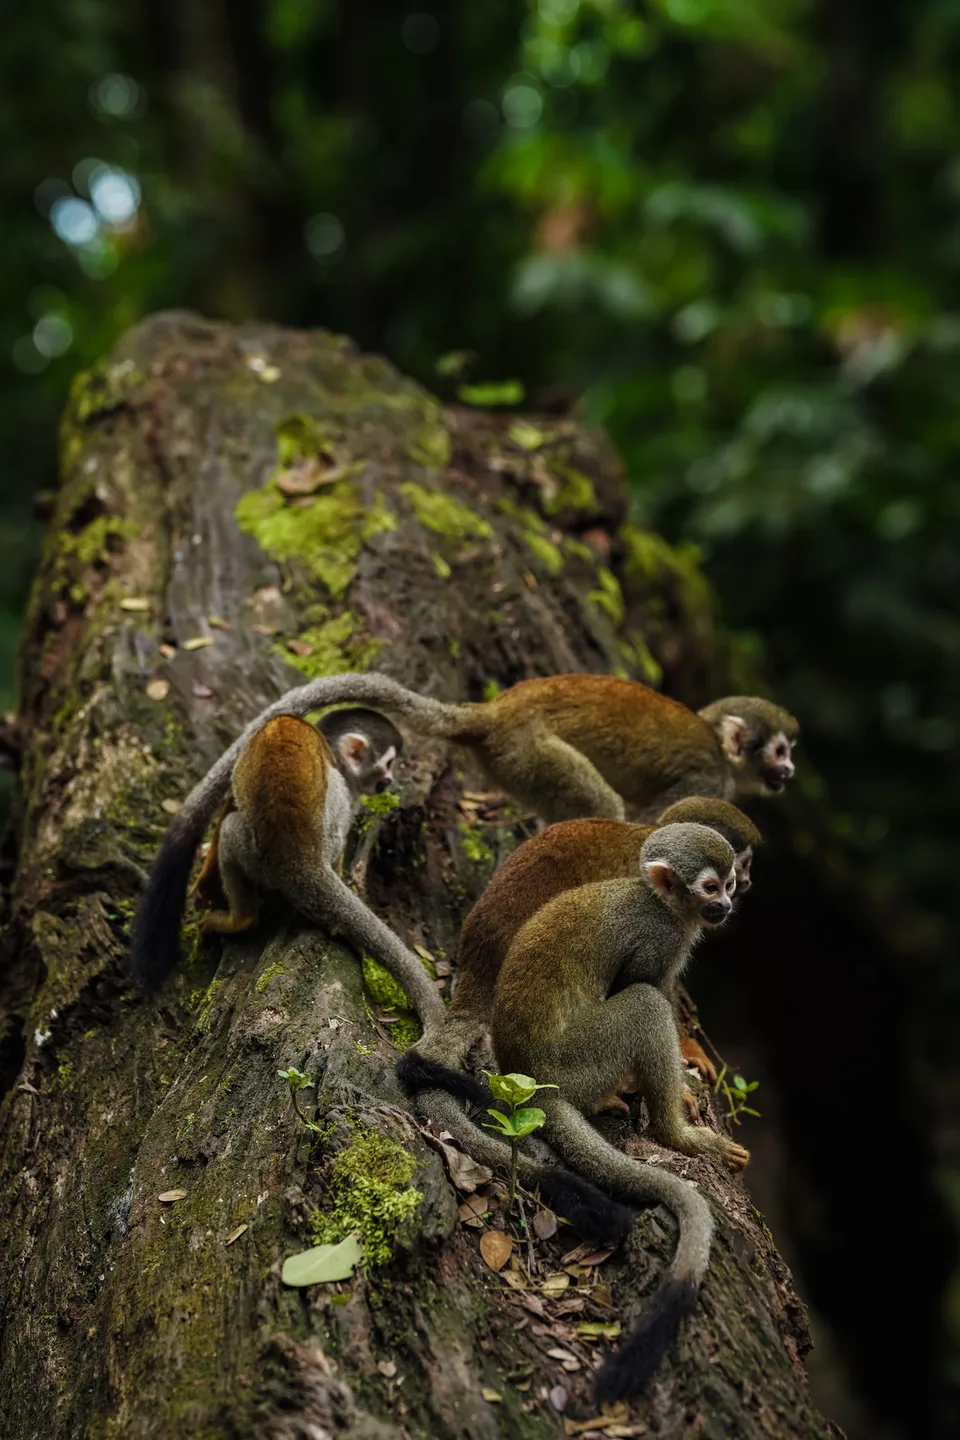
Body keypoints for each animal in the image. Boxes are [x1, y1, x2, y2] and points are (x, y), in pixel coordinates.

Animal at [130, 707, 446, 1031]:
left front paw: (205, 883)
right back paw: (242, 919)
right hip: (266, 851)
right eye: (389, 764)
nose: (389, 781)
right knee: (244, 828)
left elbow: (231, 800)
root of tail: (300, 861)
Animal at [400, 823, 747, 1402]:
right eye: (710, 887)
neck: (659, 901)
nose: (725, 907)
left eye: (731, 883)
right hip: (579, 1062)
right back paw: (674, 1133)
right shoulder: (661, 938)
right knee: (643, 1002)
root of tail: (532, 1081)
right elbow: (641, 983)